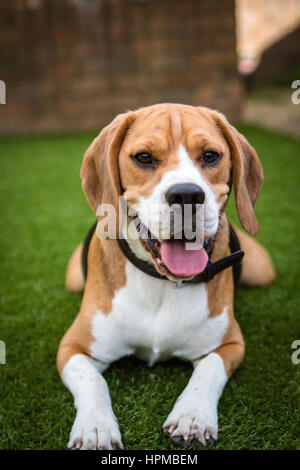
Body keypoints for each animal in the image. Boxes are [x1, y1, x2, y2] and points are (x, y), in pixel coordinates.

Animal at [57, 104, 276, 450]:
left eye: (211, 156)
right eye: (144, 157)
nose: (187, 195)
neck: (163, 283)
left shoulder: (230, 345)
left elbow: (208, 370)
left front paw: (192, 416)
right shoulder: (72, 348)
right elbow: (91, 380)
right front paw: (96, 428)